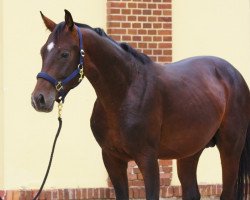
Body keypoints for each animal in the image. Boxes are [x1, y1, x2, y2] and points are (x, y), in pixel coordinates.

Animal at [31, 10, 250, 199]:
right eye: (42, 52)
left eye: (64, 54)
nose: (38, 99)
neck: (125, 93)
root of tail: (234, 74)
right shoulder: (112, 159)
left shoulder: (148, 160)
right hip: (190, 151)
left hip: (230, 149)